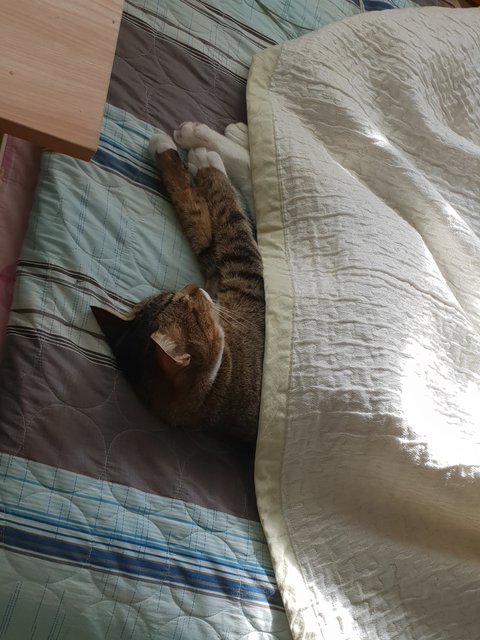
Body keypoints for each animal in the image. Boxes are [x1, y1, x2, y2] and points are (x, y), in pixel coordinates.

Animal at [92, 122, 264, 443]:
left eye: (176, 296)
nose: (194, 287)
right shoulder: (232, 271)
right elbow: (213, 218)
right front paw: (195, 162)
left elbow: (214, 218)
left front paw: (180, 156)